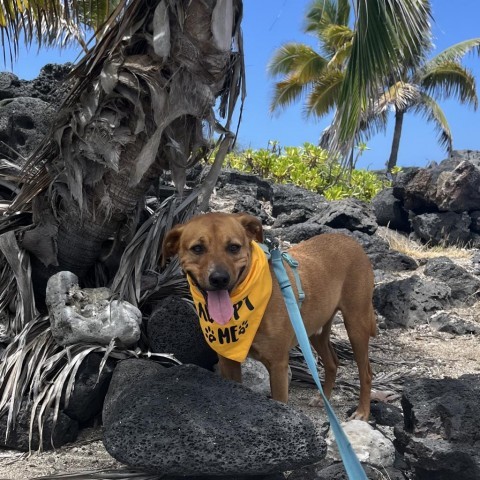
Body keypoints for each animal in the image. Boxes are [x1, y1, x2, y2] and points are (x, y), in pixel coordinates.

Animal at [163, 212, 376, 418]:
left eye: (234, 247)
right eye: (197, 248)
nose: (219, 279)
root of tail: (350, 241)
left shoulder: (278, 367)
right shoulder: (228, 362)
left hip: (356, 325)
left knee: (366, 373)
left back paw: (362, 412)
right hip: (315, 330)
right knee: (332, 362)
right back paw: (322, 397)